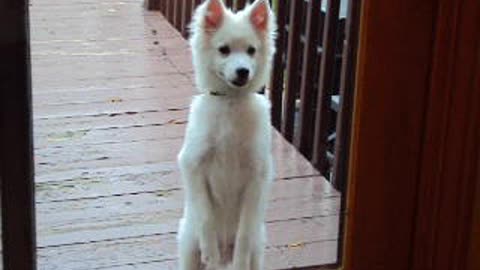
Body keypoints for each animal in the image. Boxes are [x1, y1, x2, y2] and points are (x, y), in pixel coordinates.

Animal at [176, 1, 276, 268]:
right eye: (224, 50)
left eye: (251, 50)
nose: (243, 71)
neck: (230, 103)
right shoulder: (193, 165)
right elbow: (206, 219)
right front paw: (210, 251)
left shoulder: (256, 176)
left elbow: (243, 233)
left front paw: (238, 259)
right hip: (188, 247)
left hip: (258, 248)